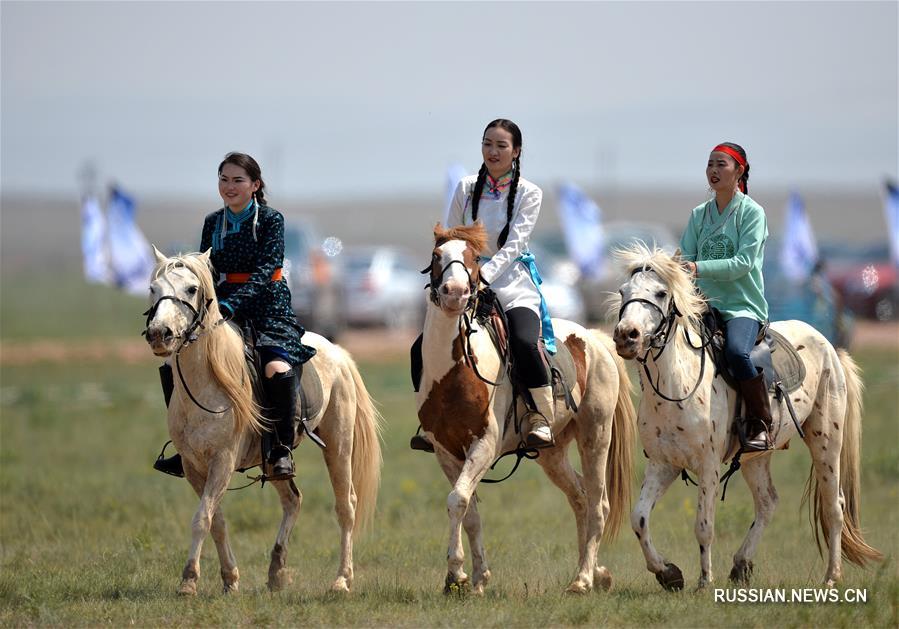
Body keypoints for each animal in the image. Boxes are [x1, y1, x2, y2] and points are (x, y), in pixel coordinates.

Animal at [142, 249, 382, 592]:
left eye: (191, 289)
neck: (207, 384)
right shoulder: (192, 466)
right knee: (293, 500)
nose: (159, 334)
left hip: (339, 444)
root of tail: (336, 350)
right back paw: (276, 571)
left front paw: (188, 581)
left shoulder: (223, 461)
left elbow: (202, 519)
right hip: (273, 459)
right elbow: (216, 520)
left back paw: (341, 580)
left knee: (346, 505)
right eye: (153, 289)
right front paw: (230, 578)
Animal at [418, 222, 636, 592]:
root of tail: (594, 338)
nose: (454, 291)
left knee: (598, 505)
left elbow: (457, 499)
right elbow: (469, 510)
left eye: (474, 258)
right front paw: (475, 578)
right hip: (552, 452)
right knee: (579, 497)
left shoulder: (484, 445)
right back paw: (595, 572)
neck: (455, 372)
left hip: (596, 436)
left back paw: (583, 580)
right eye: (436, 256)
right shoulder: (445, 450)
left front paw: (457, 572)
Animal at [608, 243, 884, 588]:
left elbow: (704, 525)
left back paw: (831, 577)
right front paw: (668, 573)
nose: (626, 335)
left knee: (834, 506)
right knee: (768, 502)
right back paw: (741, 564)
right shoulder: (663, 463)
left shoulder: (709, 466)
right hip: (756, 456)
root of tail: (830, 346)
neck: (677, 385)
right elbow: (640, 518)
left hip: (826, 442)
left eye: (660, 293)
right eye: (623, 291)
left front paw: (704, 581)